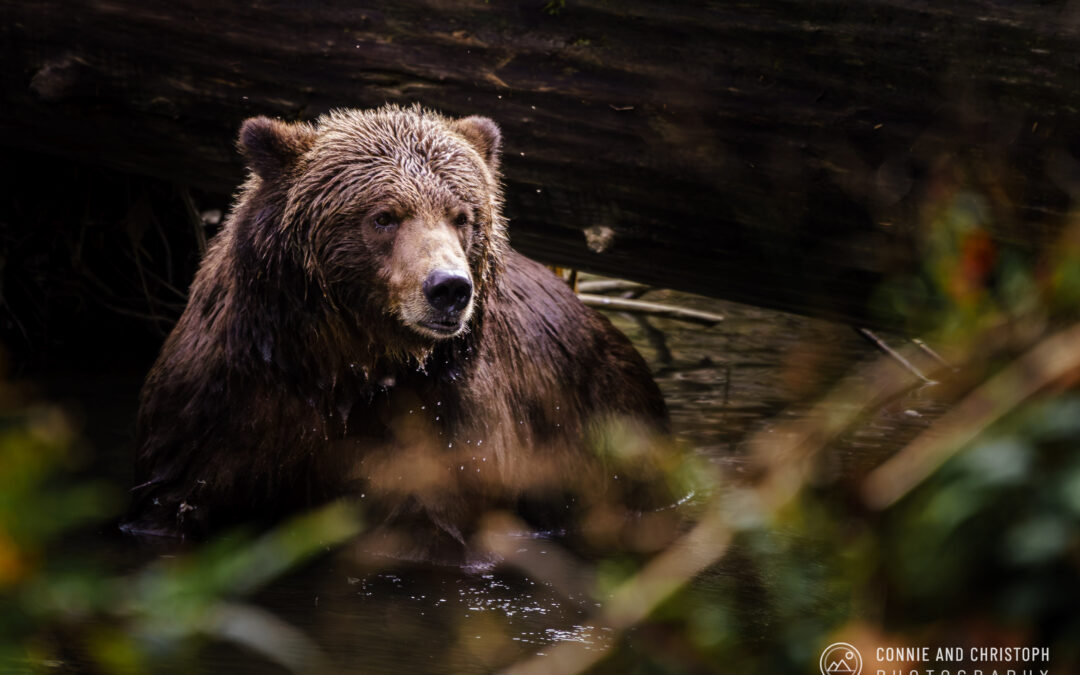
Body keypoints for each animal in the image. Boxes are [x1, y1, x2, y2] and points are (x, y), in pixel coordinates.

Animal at [121, 105, 669, 557]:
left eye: (462, 216)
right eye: (384, 215)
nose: (449, 288)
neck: (342, 361)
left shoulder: (441, 423)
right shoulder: (226, 403)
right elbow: (177, 497)